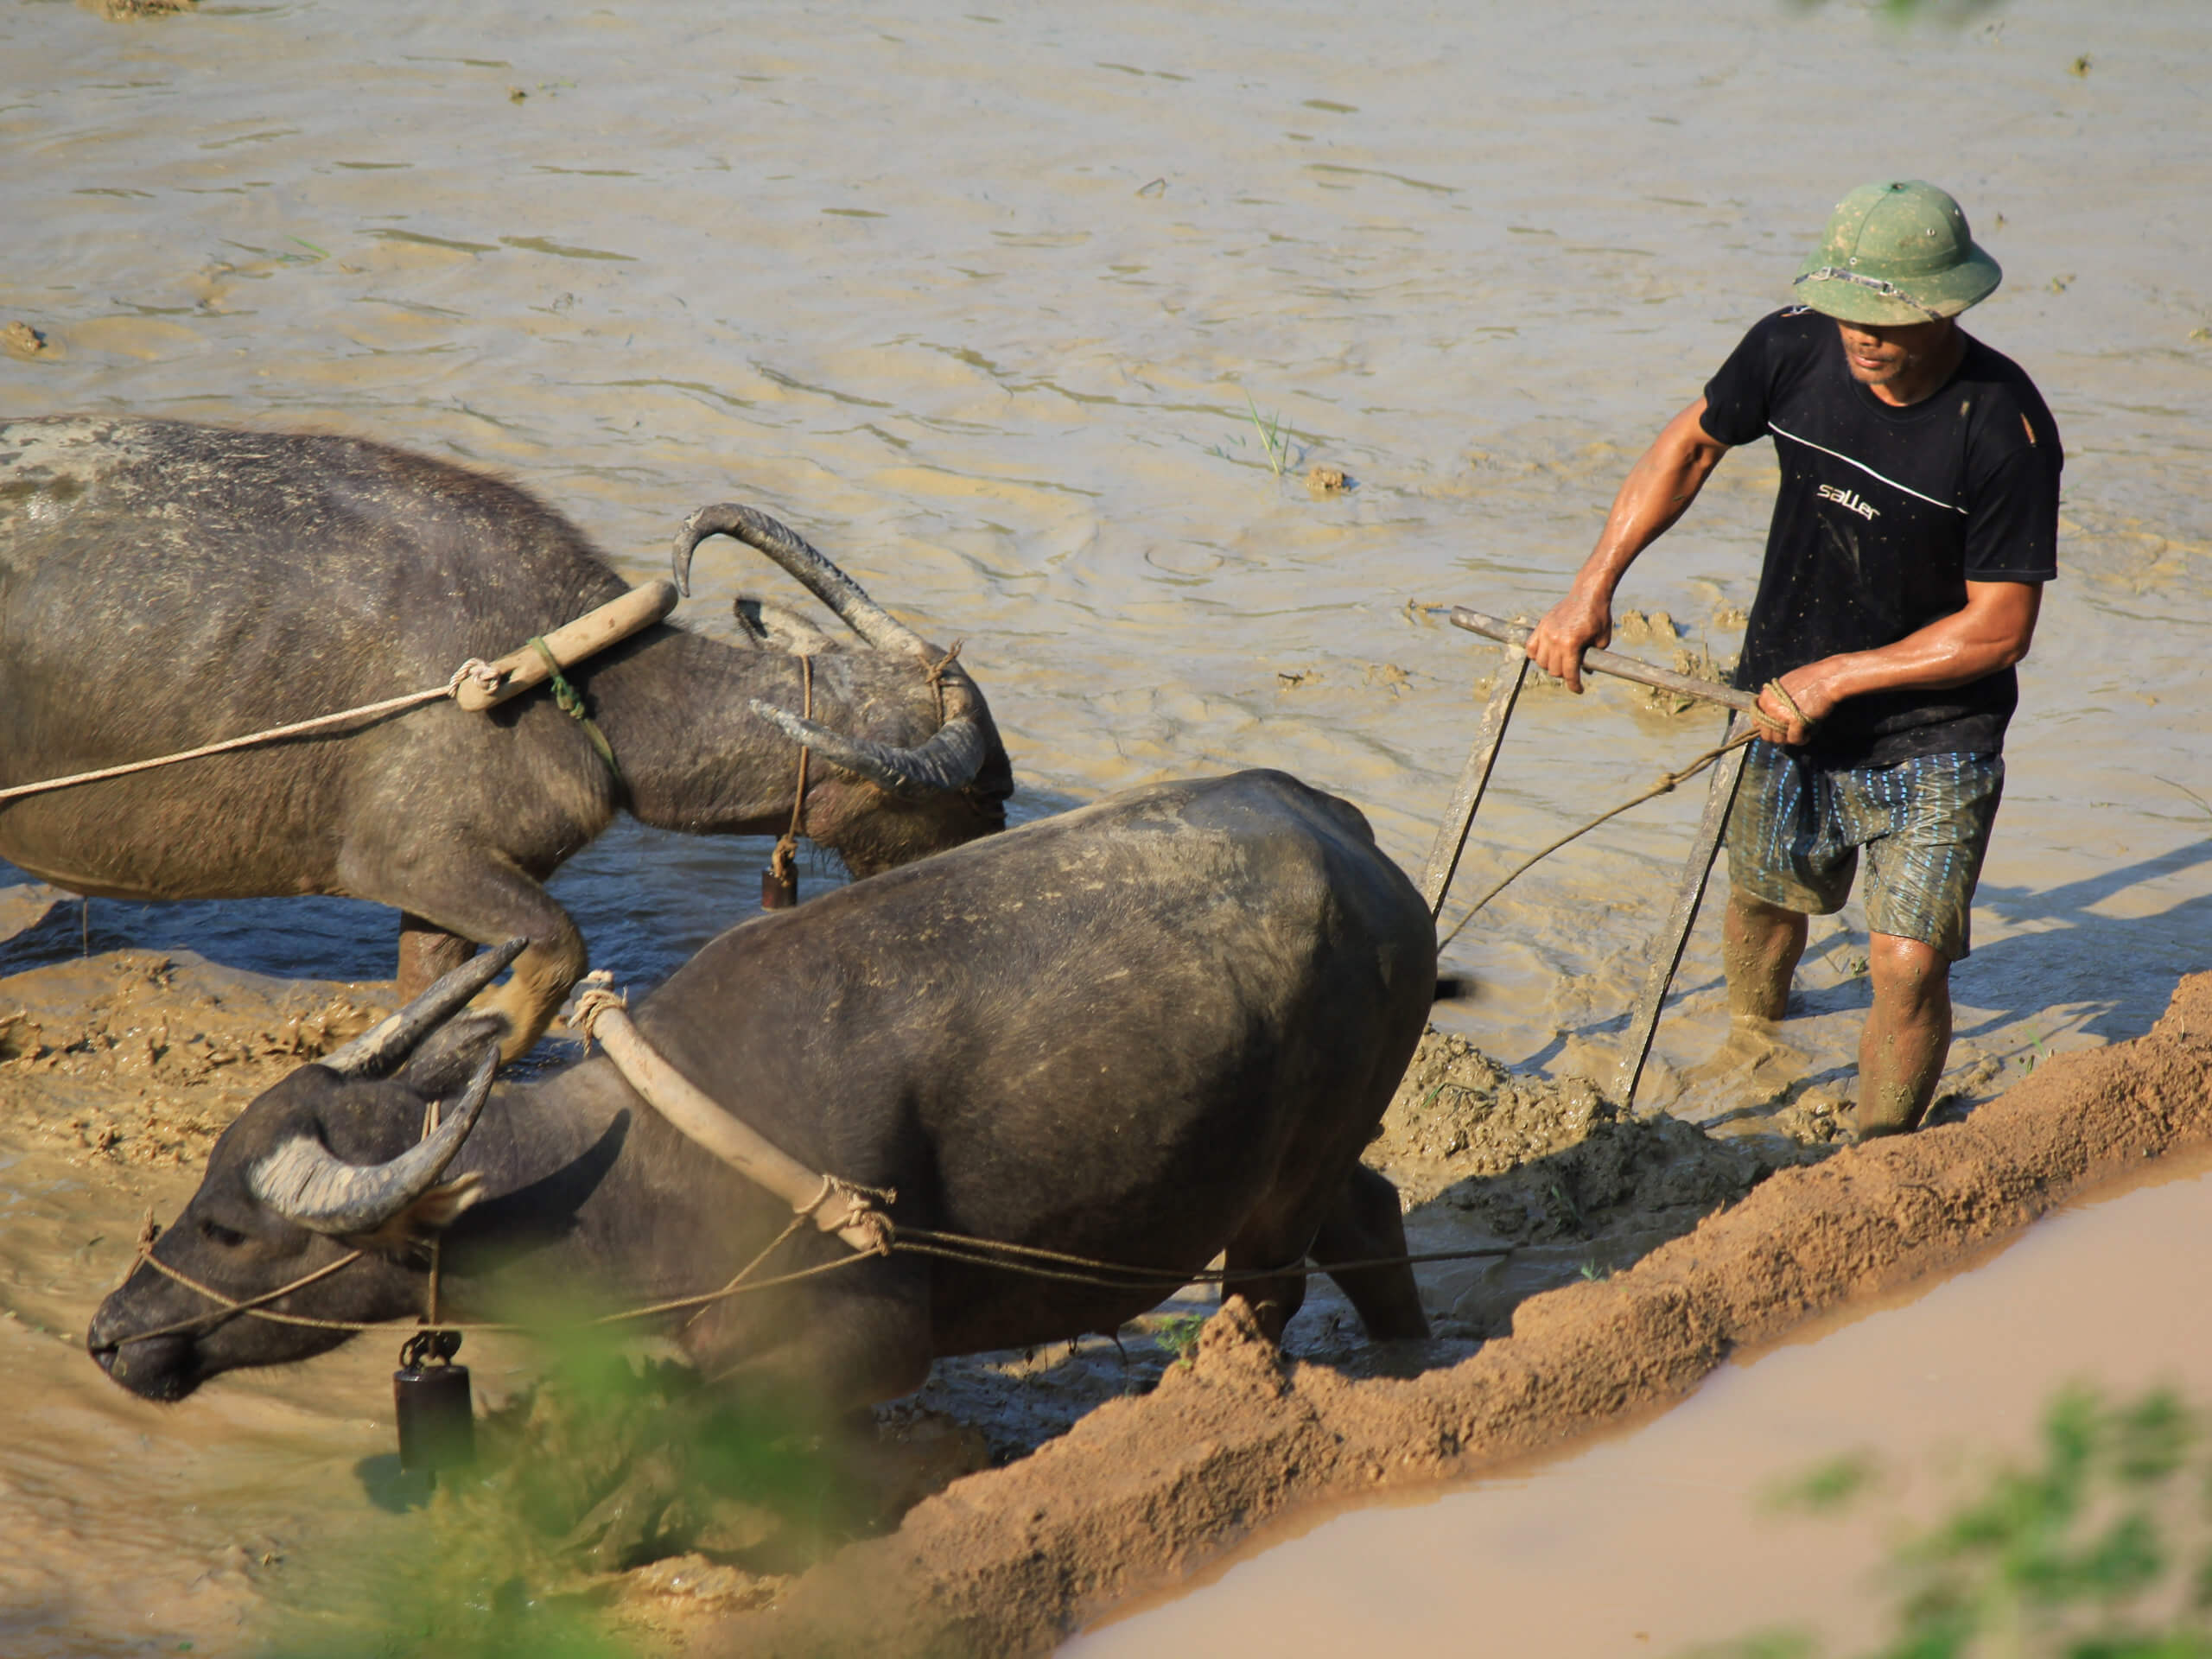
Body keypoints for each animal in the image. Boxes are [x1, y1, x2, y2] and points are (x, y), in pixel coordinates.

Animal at [0, 422, 1013, 1057]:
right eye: (981, 791)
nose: (992, 856)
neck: (578, 686)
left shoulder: (444, 888)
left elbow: (426, 988)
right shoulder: (411, 858)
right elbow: (559, 943)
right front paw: (496, 1032)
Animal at [86, 774, 1433, 1424]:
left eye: (230, 1229)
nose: (108, 1334)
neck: (634, 1177)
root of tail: (1350, 834)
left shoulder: (861, 1345)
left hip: (1284, 1183)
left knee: (1273, 1286)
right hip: (1307, 1158)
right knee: (1371, 1212)